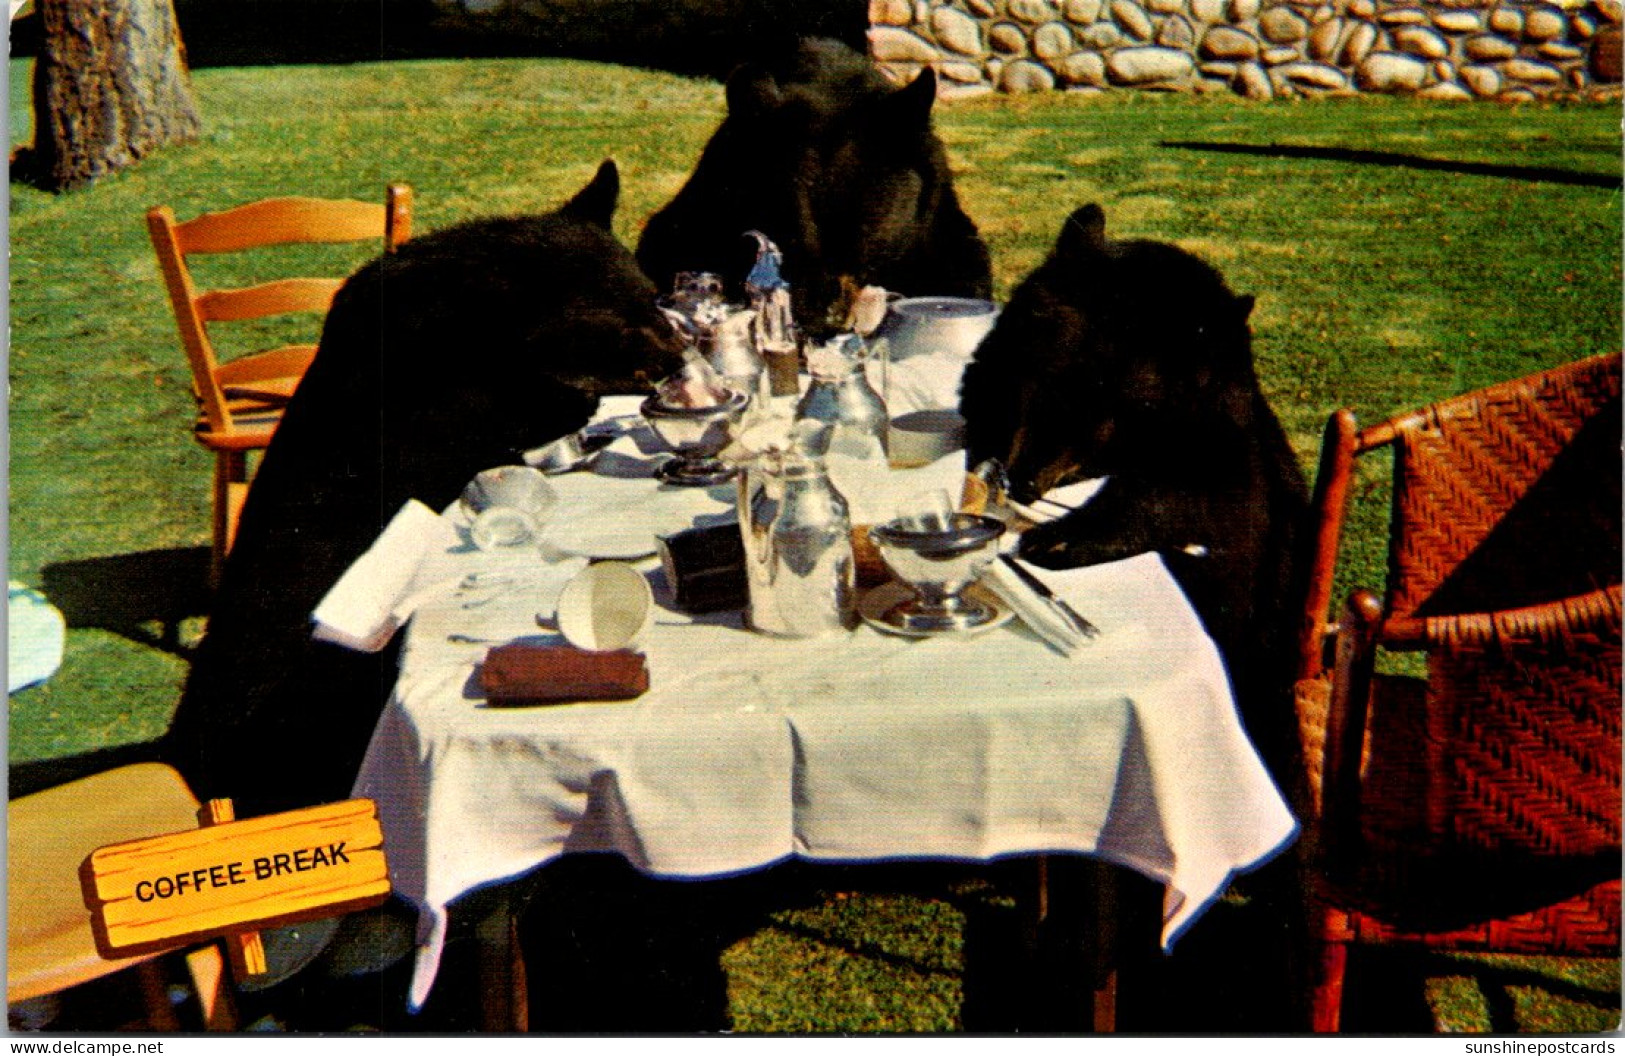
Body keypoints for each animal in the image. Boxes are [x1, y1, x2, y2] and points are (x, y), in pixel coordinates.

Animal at [962, 201, 1306, 773]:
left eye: (1117, 405)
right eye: (1039, 381)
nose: (1026, 482)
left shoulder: (1225, 442)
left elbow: (1205, 503)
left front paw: (1058, 537)